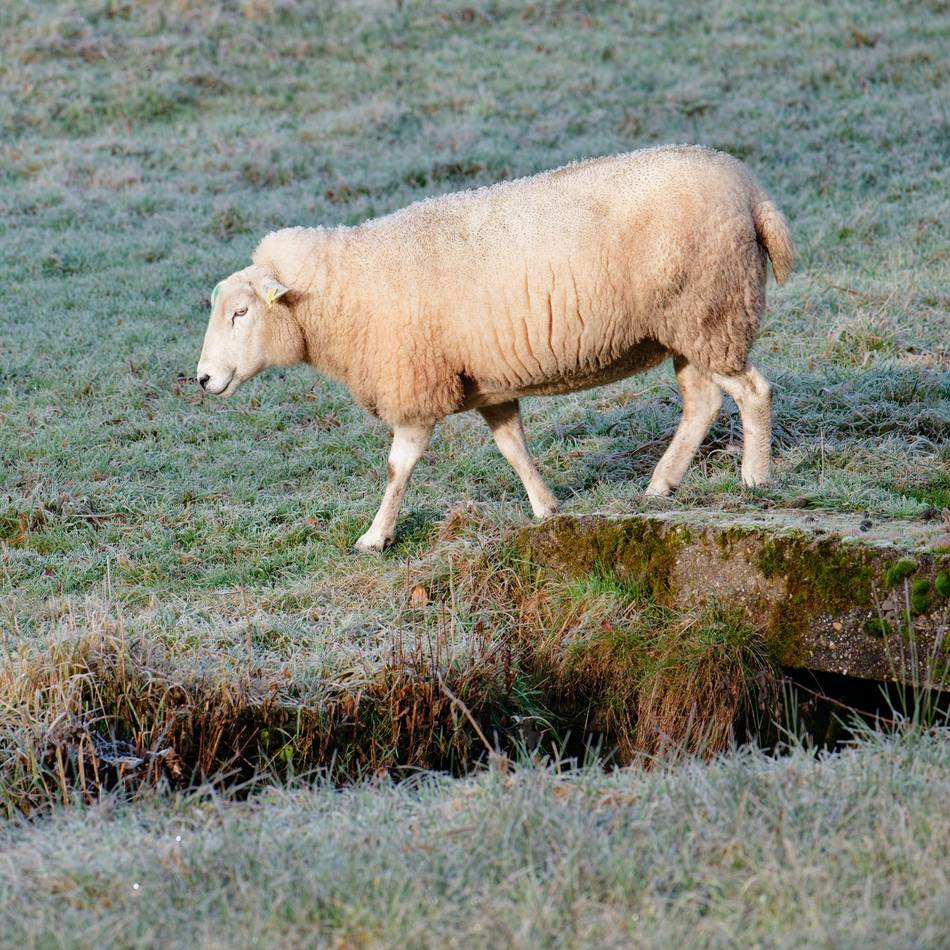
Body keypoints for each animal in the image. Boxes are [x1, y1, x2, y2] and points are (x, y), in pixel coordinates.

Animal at [196, 145, 793, 552]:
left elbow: (397, 467)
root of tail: (751, 188)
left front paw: (375, 536)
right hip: (688, 326)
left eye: (241, 313)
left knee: (752, 391)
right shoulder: (486, 382)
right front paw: (546, 508)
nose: (201, 378)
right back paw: (660, 486)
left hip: (712, 309)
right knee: (703, 403)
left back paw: (756, 477)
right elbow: (513, 448)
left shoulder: (415, 383)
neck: (344, 291)